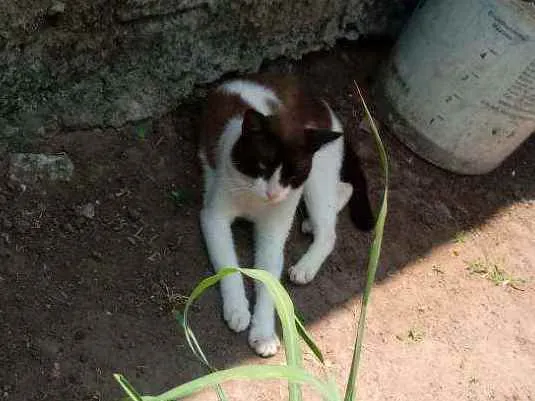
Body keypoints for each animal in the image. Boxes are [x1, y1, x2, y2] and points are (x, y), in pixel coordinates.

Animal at [198, 75, 372, 356]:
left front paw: (263, 334)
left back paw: (305, 265)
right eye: (261, 166)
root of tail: (318, 102)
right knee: (345, 188)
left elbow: (268, 277)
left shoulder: (274, 228)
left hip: (316, 176)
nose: (273, 193)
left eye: (292, 175)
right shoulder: (214, 218)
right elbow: (229, 265)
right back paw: (310, 224)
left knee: (331, 228)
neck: (255, 201)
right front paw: (237, 309)